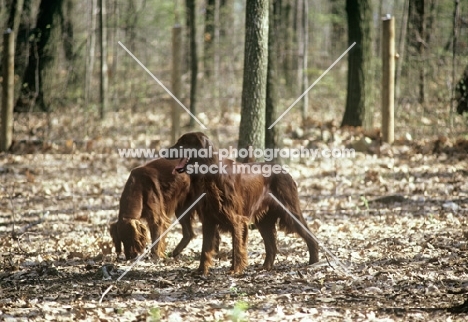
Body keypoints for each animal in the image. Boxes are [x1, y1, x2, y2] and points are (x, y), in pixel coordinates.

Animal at [168, 131, 318, 274]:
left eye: (183, 143)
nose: (164, 152)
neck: (211, 174)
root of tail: (285, 171)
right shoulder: (209, 220)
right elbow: (205, 249)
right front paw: (200, 271)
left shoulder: (237, 220)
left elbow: (237, 246)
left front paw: (235, 270)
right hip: (264, 221)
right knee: (272, 247)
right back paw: (265, 267)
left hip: (289, 211)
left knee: (309, 235)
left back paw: (314, 262)